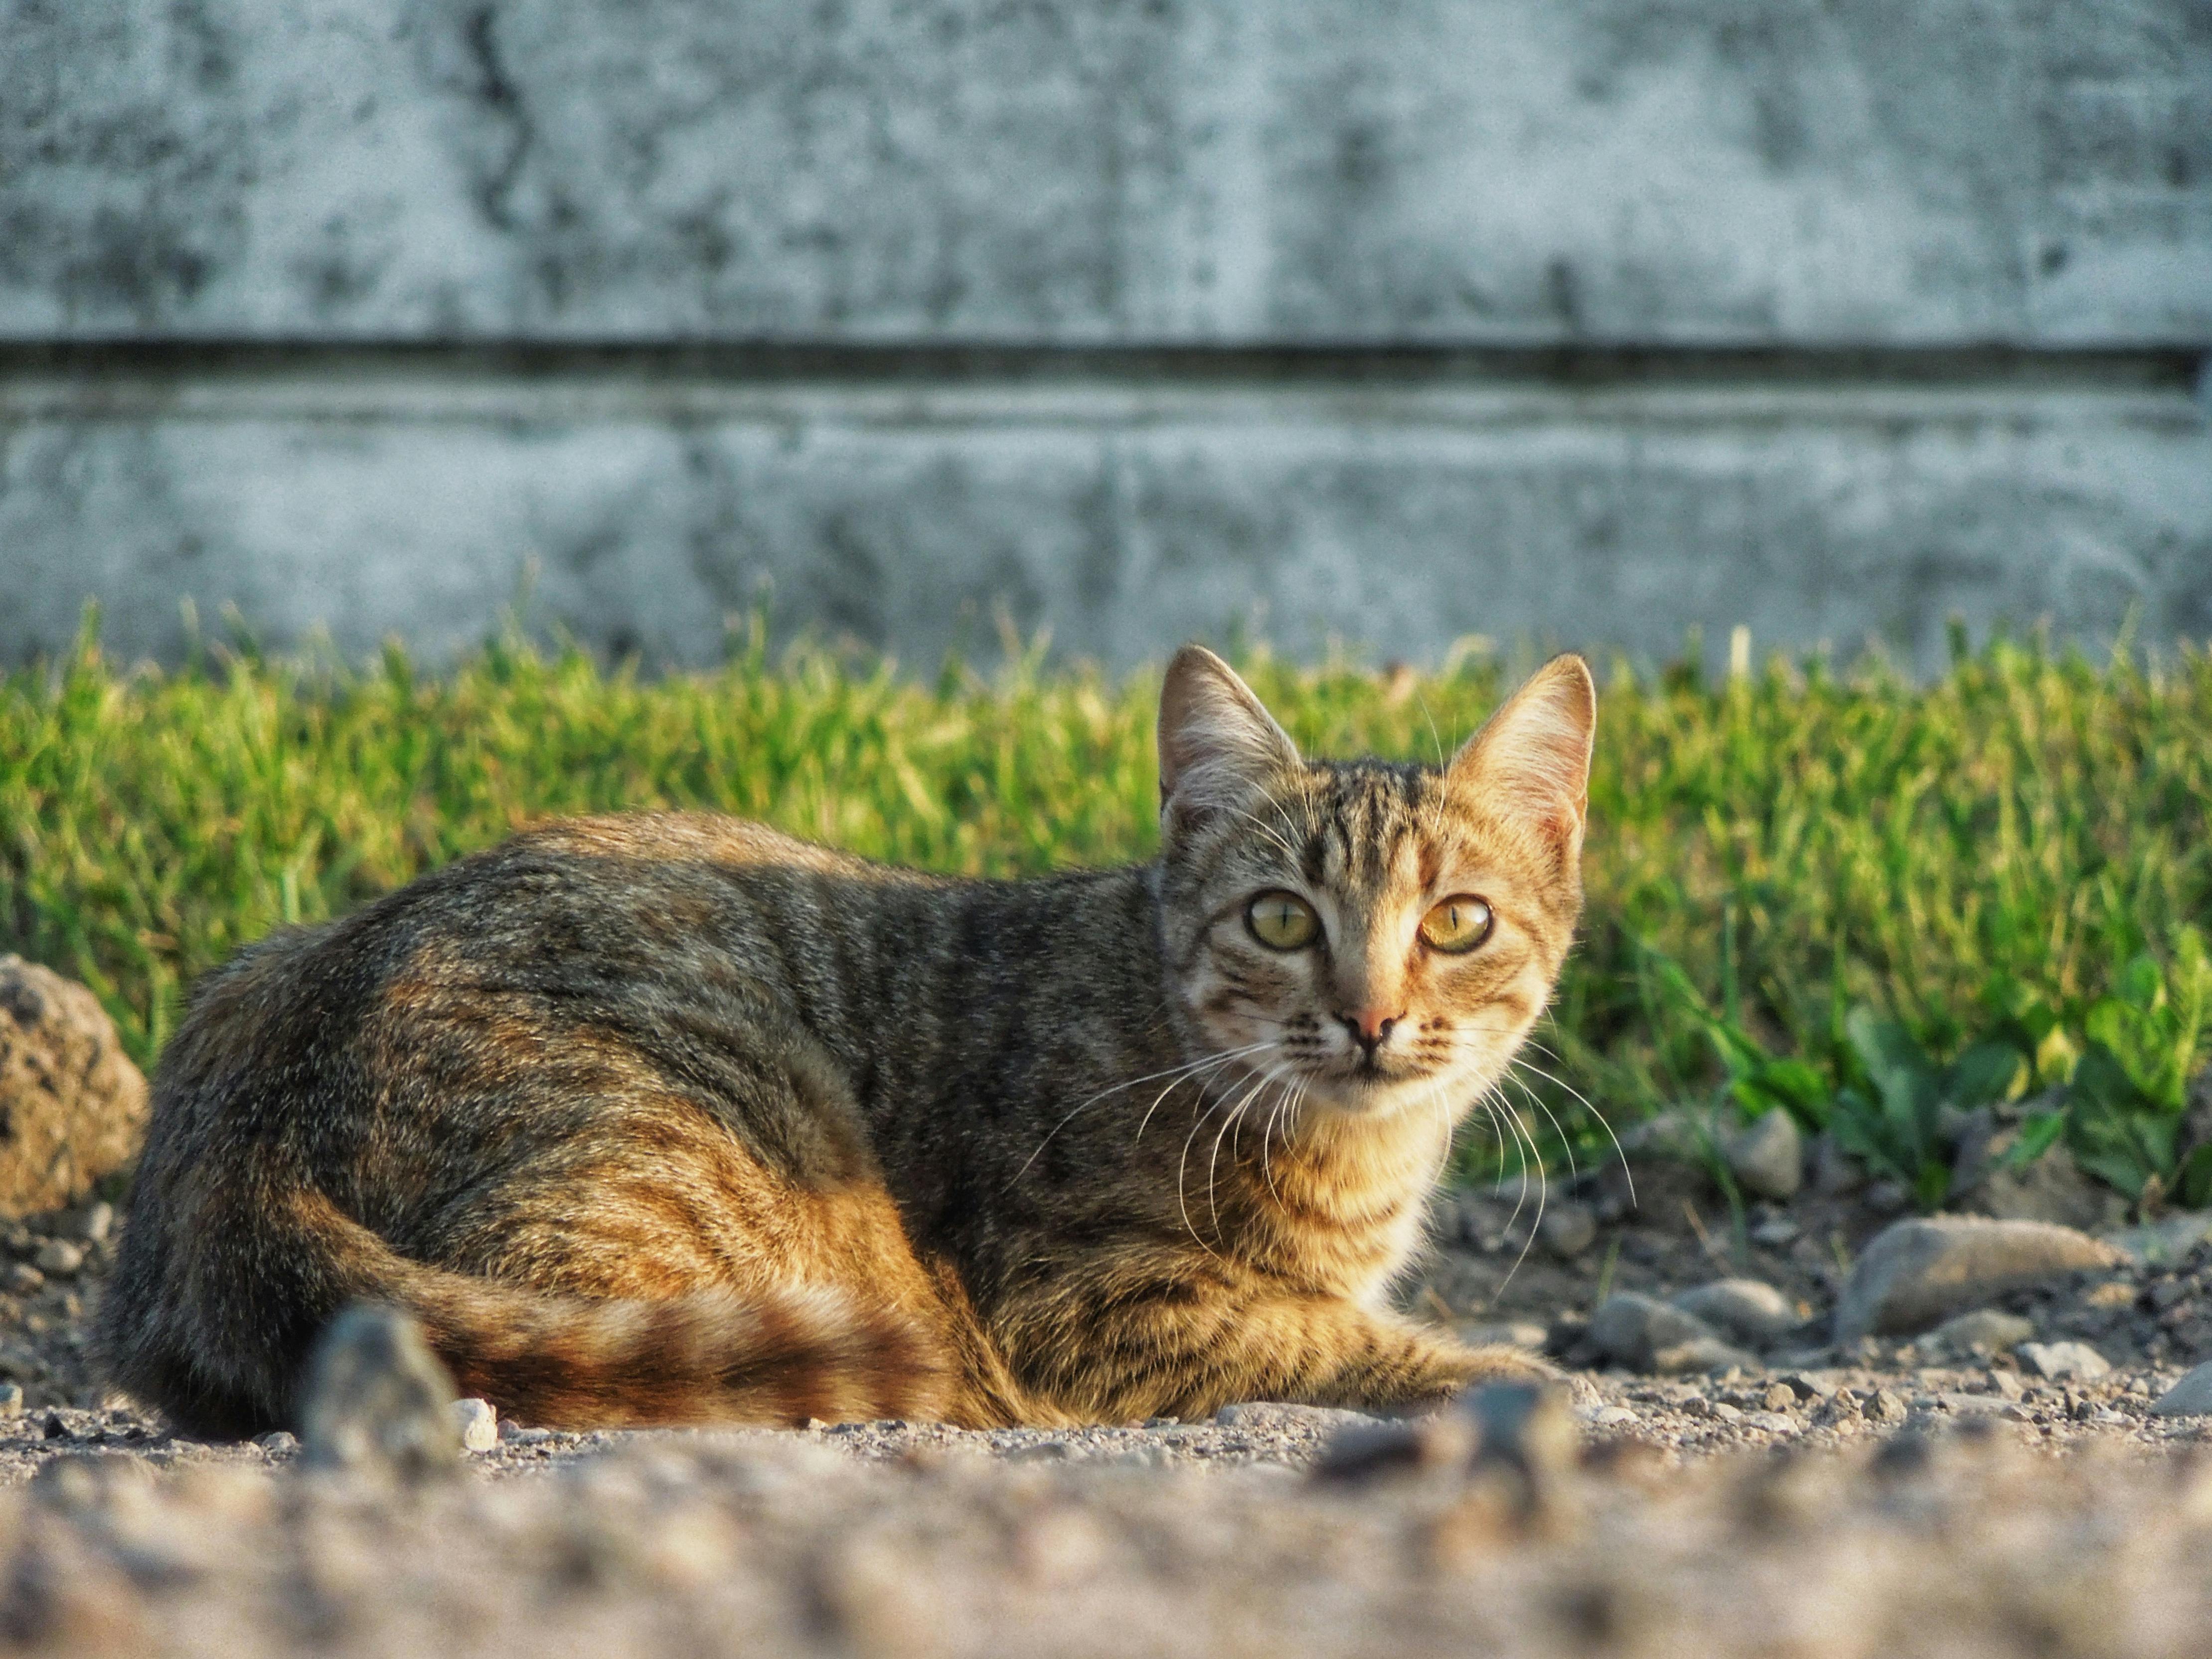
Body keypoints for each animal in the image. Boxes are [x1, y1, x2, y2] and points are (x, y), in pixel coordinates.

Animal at [99, 641, 1592, 1433]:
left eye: (1456, 922)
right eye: (1280, 919)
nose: (1369, 1015)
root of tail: (252, 1138)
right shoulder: (1083, 1306)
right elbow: (1313, 1335)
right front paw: (1498, 1368)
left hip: (248, 973)